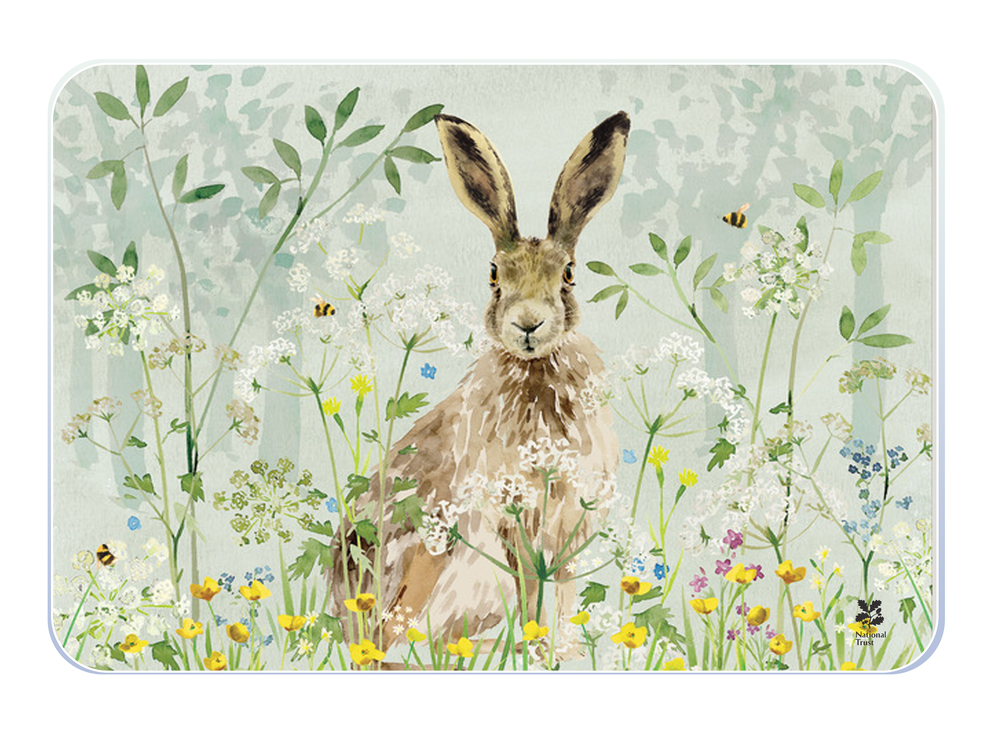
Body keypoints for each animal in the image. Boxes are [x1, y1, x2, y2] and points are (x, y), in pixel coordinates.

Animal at [328, 111, 630, 660]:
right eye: (494, 275)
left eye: (568, 275)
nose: (527, 324)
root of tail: (345, 623)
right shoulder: (516, 522)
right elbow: (532, 589)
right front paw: (538, 651)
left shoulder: (569, 526)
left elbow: (564, 589)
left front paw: (567, 652)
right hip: (429, 559)